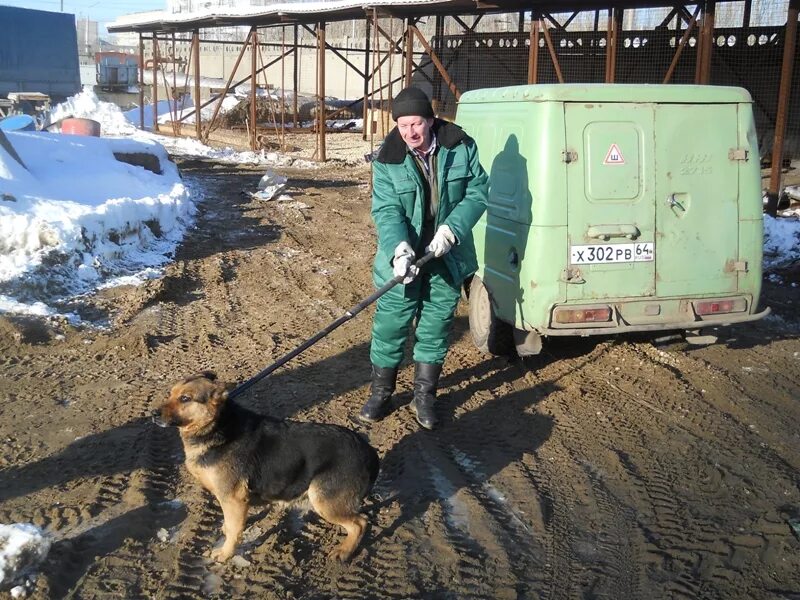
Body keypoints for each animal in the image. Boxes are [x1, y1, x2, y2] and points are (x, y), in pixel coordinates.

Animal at [158, 370, 382, 564]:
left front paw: (225, 553)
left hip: (323, 500)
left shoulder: (233, 497)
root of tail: (369, 451)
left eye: (185, 398)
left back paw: (344, 551)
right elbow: (231, 524)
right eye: (170, 393)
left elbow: (234, 530)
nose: (153, 413)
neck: (217, 425)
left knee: (360, 523)